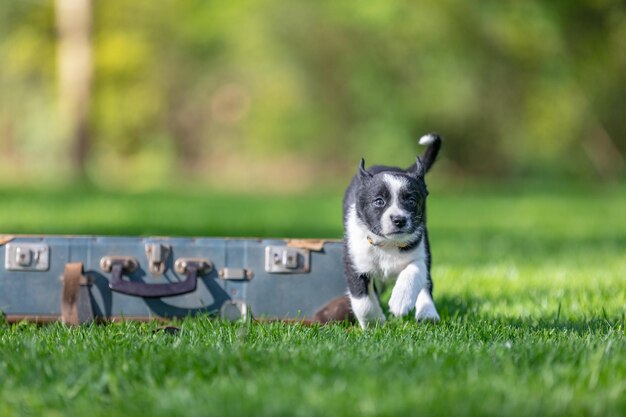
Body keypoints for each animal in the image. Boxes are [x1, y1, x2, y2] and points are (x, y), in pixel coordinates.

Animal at [342, 133, 438, 328]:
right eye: (379, 201)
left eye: (411, 201)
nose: (399, 220)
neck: (387, 244)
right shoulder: (354, 263)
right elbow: (362, 301)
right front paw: (374, 322)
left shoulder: (419, 251)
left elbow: (414, 270)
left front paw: (400, 301)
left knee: (427, 284)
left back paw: (428, 313)